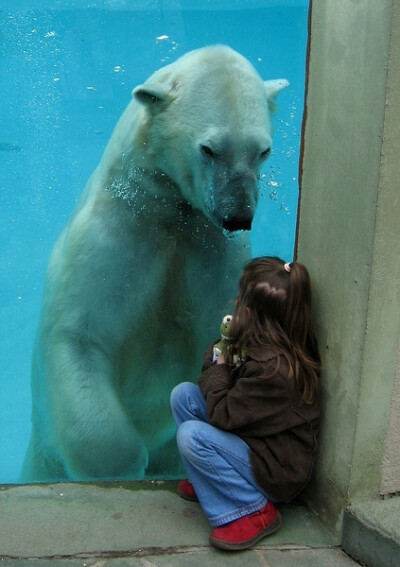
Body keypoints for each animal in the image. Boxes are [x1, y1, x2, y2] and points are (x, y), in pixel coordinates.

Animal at [21, 44, 288, 482]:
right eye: (209, 149)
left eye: (262, 150)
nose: (238, 216)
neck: (167, 210)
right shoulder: (114, 236)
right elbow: (80, 334)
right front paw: (122, 465)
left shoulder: (213, 249)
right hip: (40, 458)